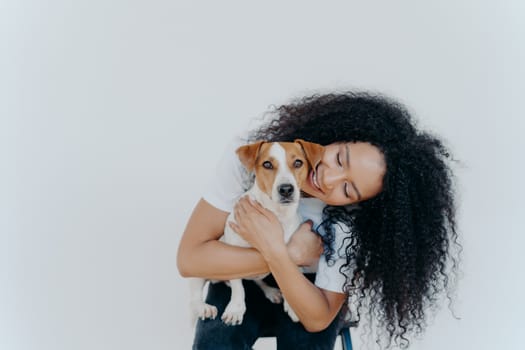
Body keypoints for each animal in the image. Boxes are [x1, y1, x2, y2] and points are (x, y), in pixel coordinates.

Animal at [188, 139, 324, 326]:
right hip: (200, 267)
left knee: (258, 281)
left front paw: (292, 306)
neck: (277, 213)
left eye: (298, 163)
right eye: (267, 164)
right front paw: (236, 309)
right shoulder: (232, 251)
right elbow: (238, 286)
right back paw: (203, 307)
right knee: (194, 294)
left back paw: (270, 291)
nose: (286, 189)